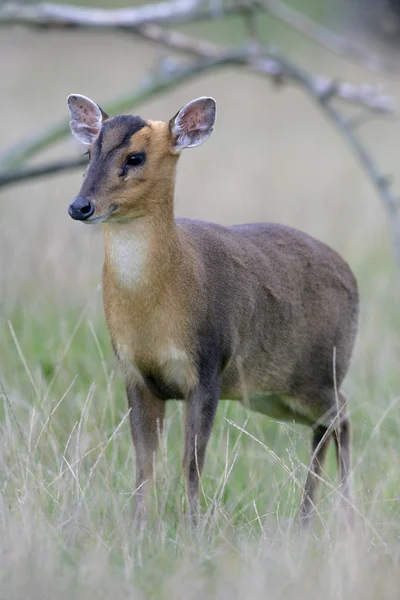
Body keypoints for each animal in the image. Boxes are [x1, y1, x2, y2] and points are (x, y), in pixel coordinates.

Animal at [66, 91, 360, 524]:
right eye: (89, 151)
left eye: (135, 157)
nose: (79, 206)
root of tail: (352, 277)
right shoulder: (135, 374)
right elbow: (144, 462)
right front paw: (137, 526)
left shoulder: (207, 367)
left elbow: (191, 461)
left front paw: (193, 526)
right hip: (275, 393)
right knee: (326, 426)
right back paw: (308, 520)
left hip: (322, 369)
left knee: (342, 416)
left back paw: (342, 517)